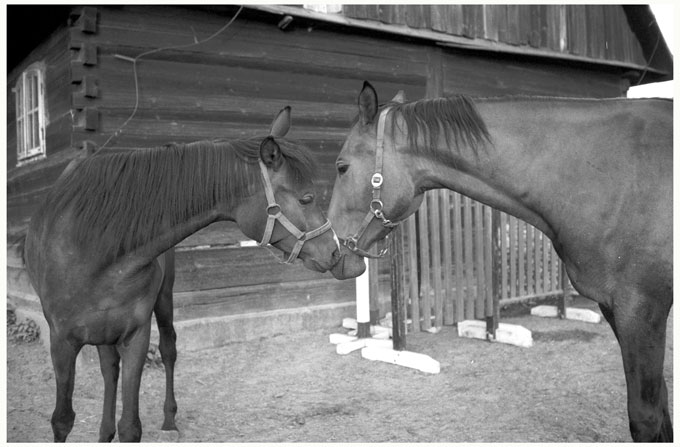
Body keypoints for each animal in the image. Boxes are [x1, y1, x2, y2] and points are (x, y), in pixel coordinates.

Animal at [23, 107, 342, 442]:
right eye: (306, 198)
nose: (335, 251)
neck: (97, 246)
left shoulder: (135, 337)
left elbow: (130, 425)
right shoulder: (61, 341)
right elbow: (62, 419)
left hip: (163, 300)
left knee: (167, 350)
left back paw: (168, 420)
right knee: (110, 370)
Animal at [326, 82, 672, 442]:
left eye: (342, 167)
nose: (328, 250)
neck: (608, 177)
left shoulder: (641, 310)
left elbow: (646, 416)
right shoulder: (616, 309)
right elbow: (661, 405)